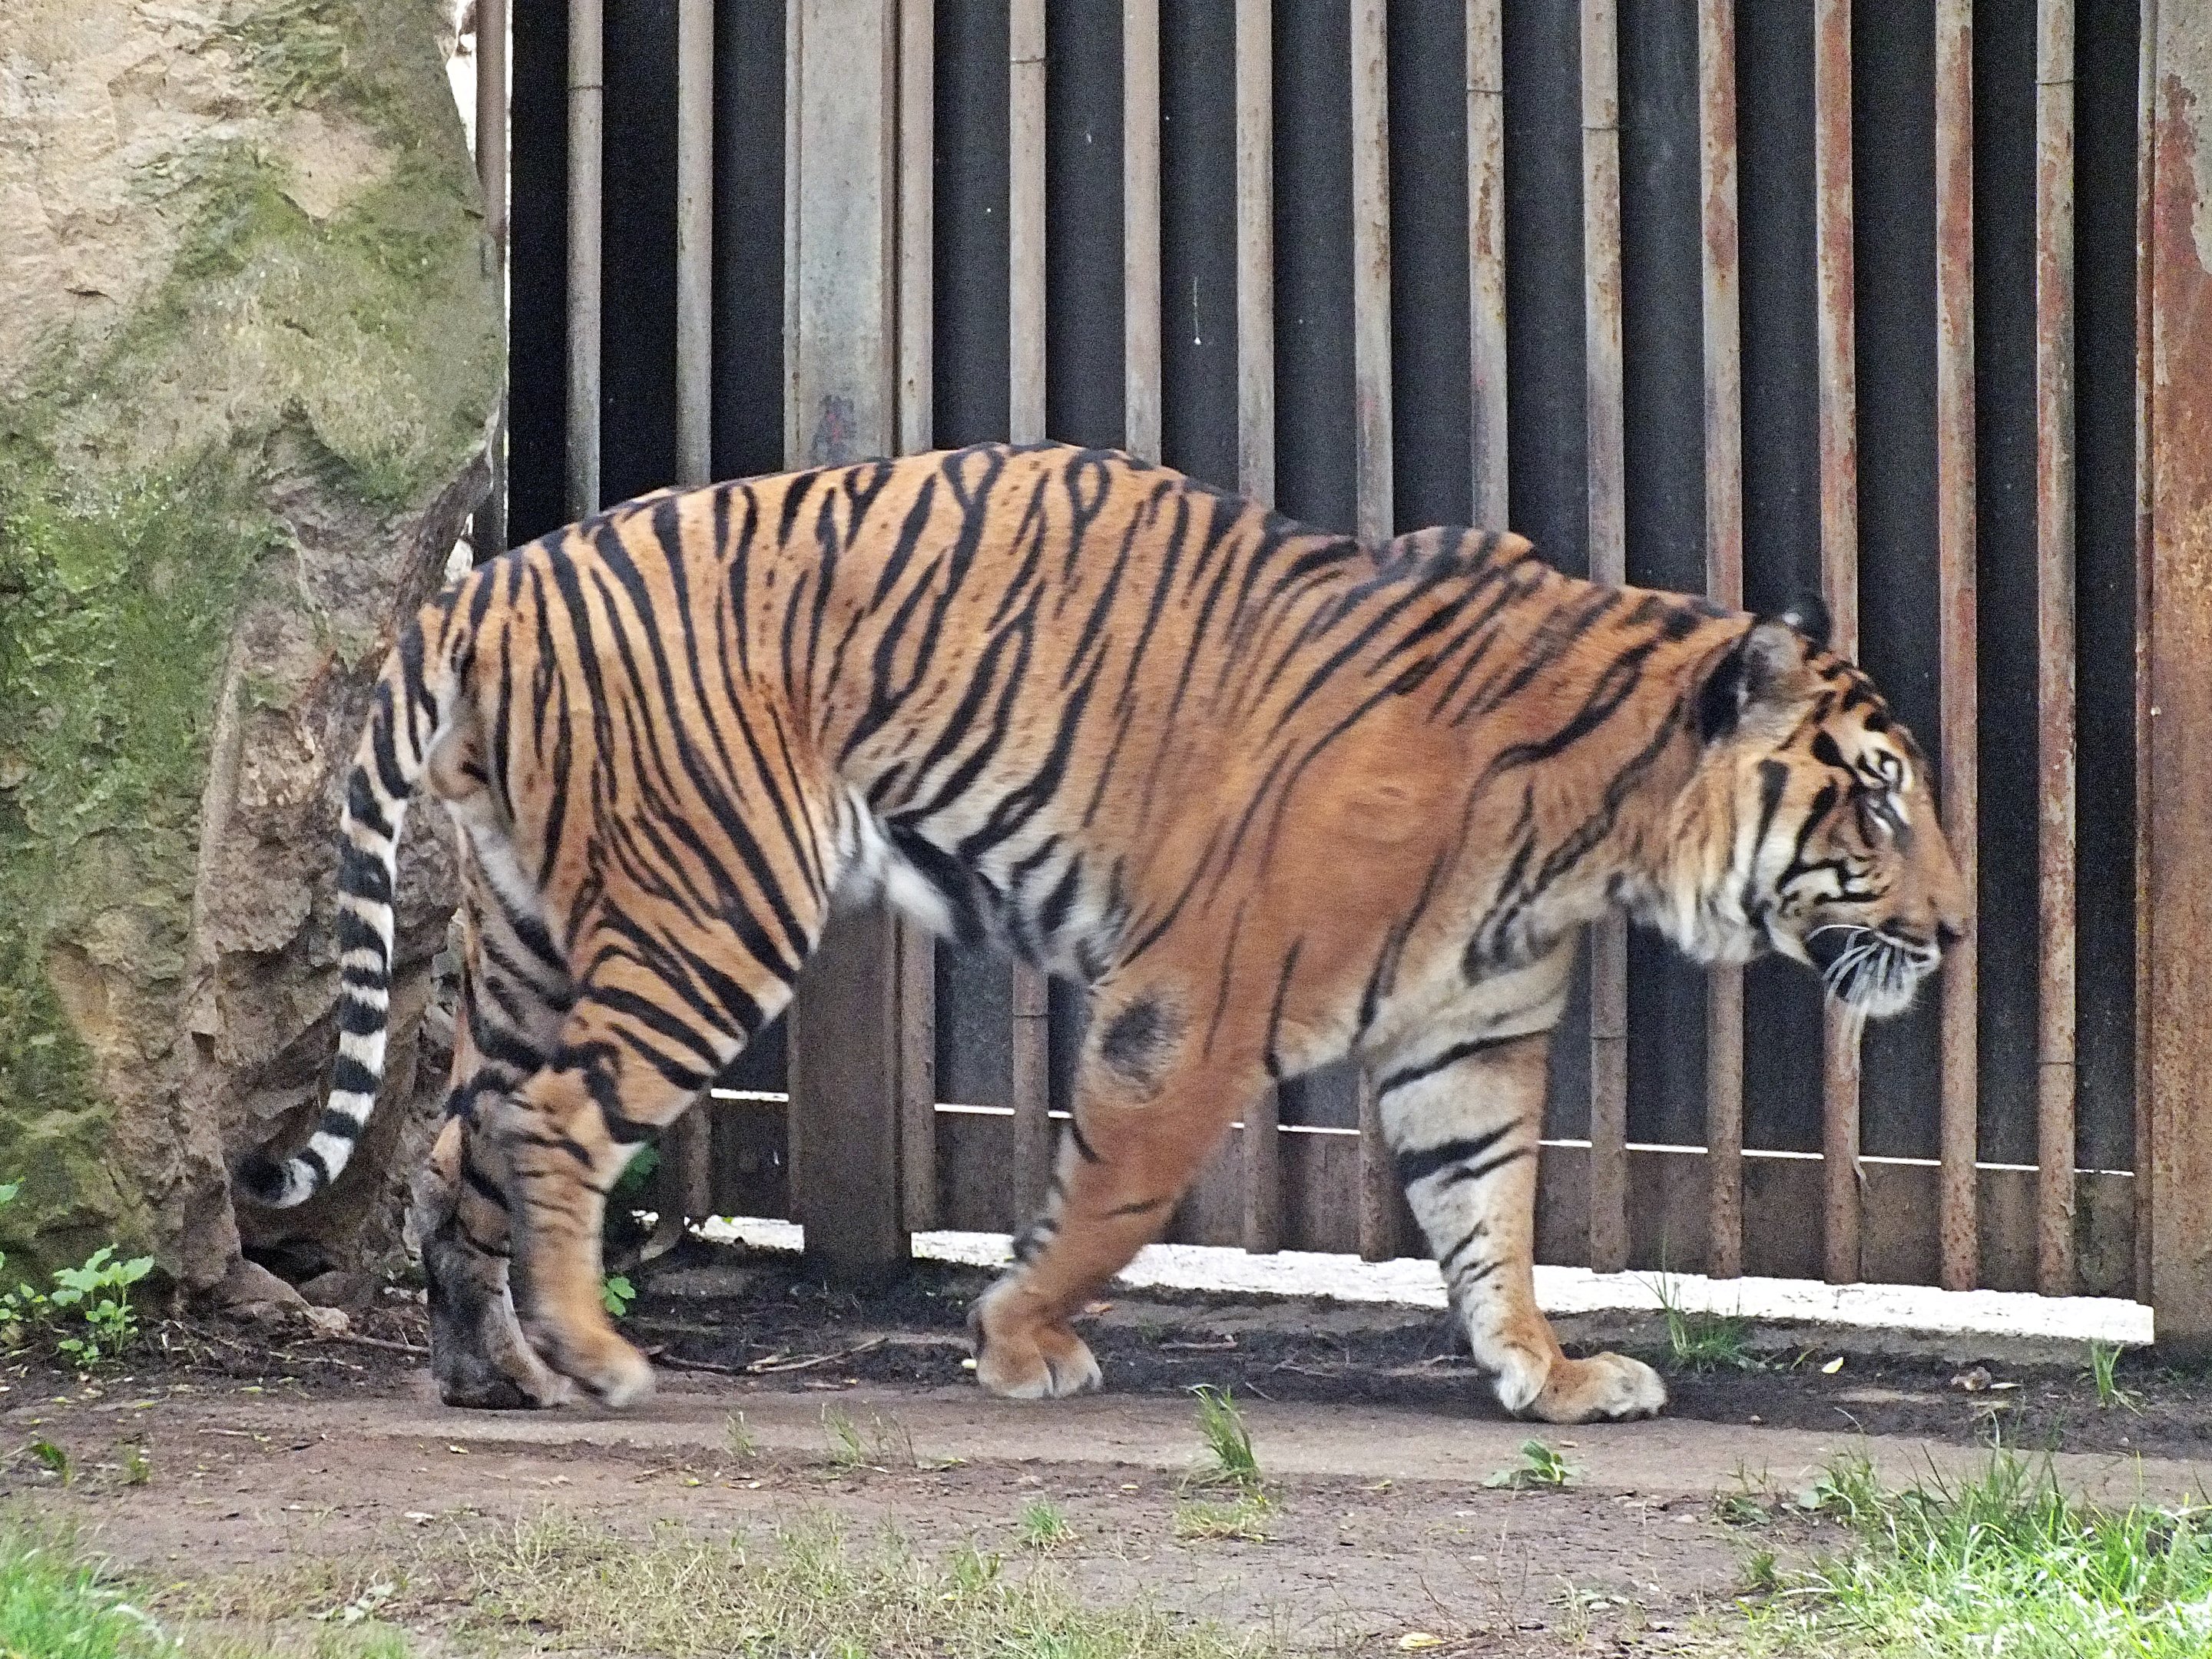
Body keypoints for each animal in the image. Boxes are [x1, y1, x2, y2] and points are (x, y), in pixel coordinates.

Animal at [235, 441, 1968, 1425]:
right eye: (1879, 799)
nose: (1958, 932)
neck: (1599, 833)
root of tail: (489, 587)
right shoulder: (1199, 999)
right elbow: (1116, 1196)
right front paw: (1019, 1338)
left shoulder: (1468, 1044)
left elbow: (1492, 1223)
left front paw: (1546, 1375)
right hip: (707, 914)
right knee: (549, 1127)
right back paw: (593, 1359)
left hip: (541, 940)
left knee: (455, 1145)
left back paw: (497, 1372)